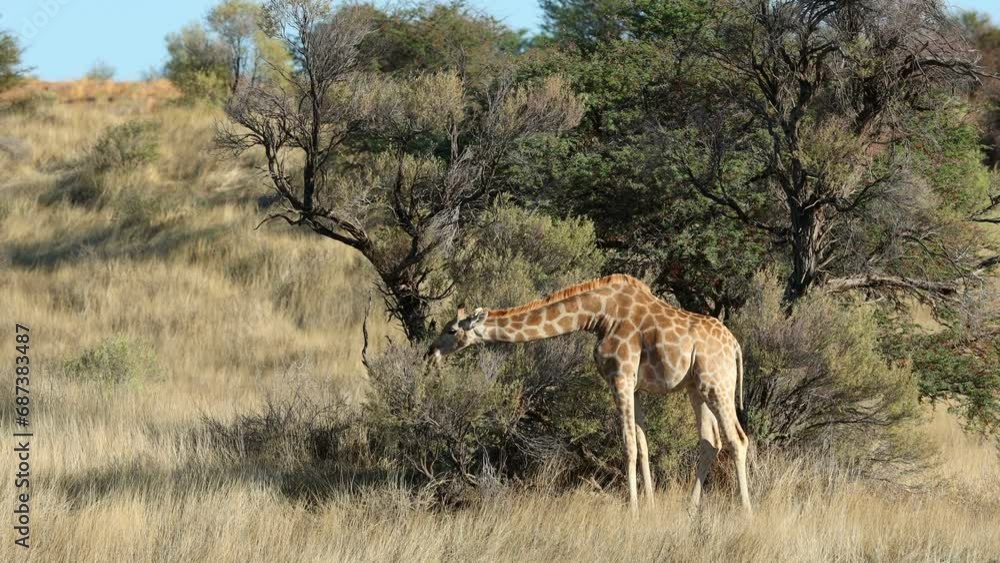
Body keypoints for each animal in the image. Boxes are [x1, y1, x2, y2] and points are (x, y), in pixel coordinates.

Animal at [428, 274, 752, 516]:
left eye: (450, 329)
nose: (430, 353)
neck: (598, 315)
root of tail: (736, 346)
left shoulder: (620, 377)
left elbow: (628, 446)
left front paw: (633, 511)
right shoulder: (634, 386)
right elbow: (644, 446)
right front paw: (649, 506)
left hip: (717, 384)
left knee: (737, 439)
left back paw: (745, 511)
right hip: (695, 387)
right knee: (710, 442)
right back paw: (690, 508)